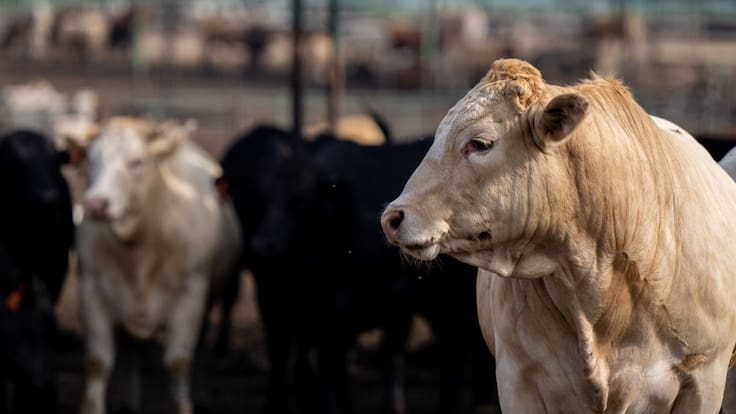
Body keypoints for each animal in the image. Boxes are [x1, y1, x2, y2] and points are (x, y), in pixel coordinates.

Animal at [70, 117, 241, 414]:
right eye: (91, 160)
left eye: (137, 162)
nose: (95, 204)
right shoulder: (91, 290)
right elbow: (97, 362)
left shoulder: (191, 295)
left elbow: (178, 362)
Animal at [220, 126, 498, 414]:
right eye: (261, 198)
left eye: (301, 201)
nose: (264, 244)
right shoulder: (306, 309)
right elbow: (321, 364)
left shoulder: (399, 303)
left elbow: (390, 358)